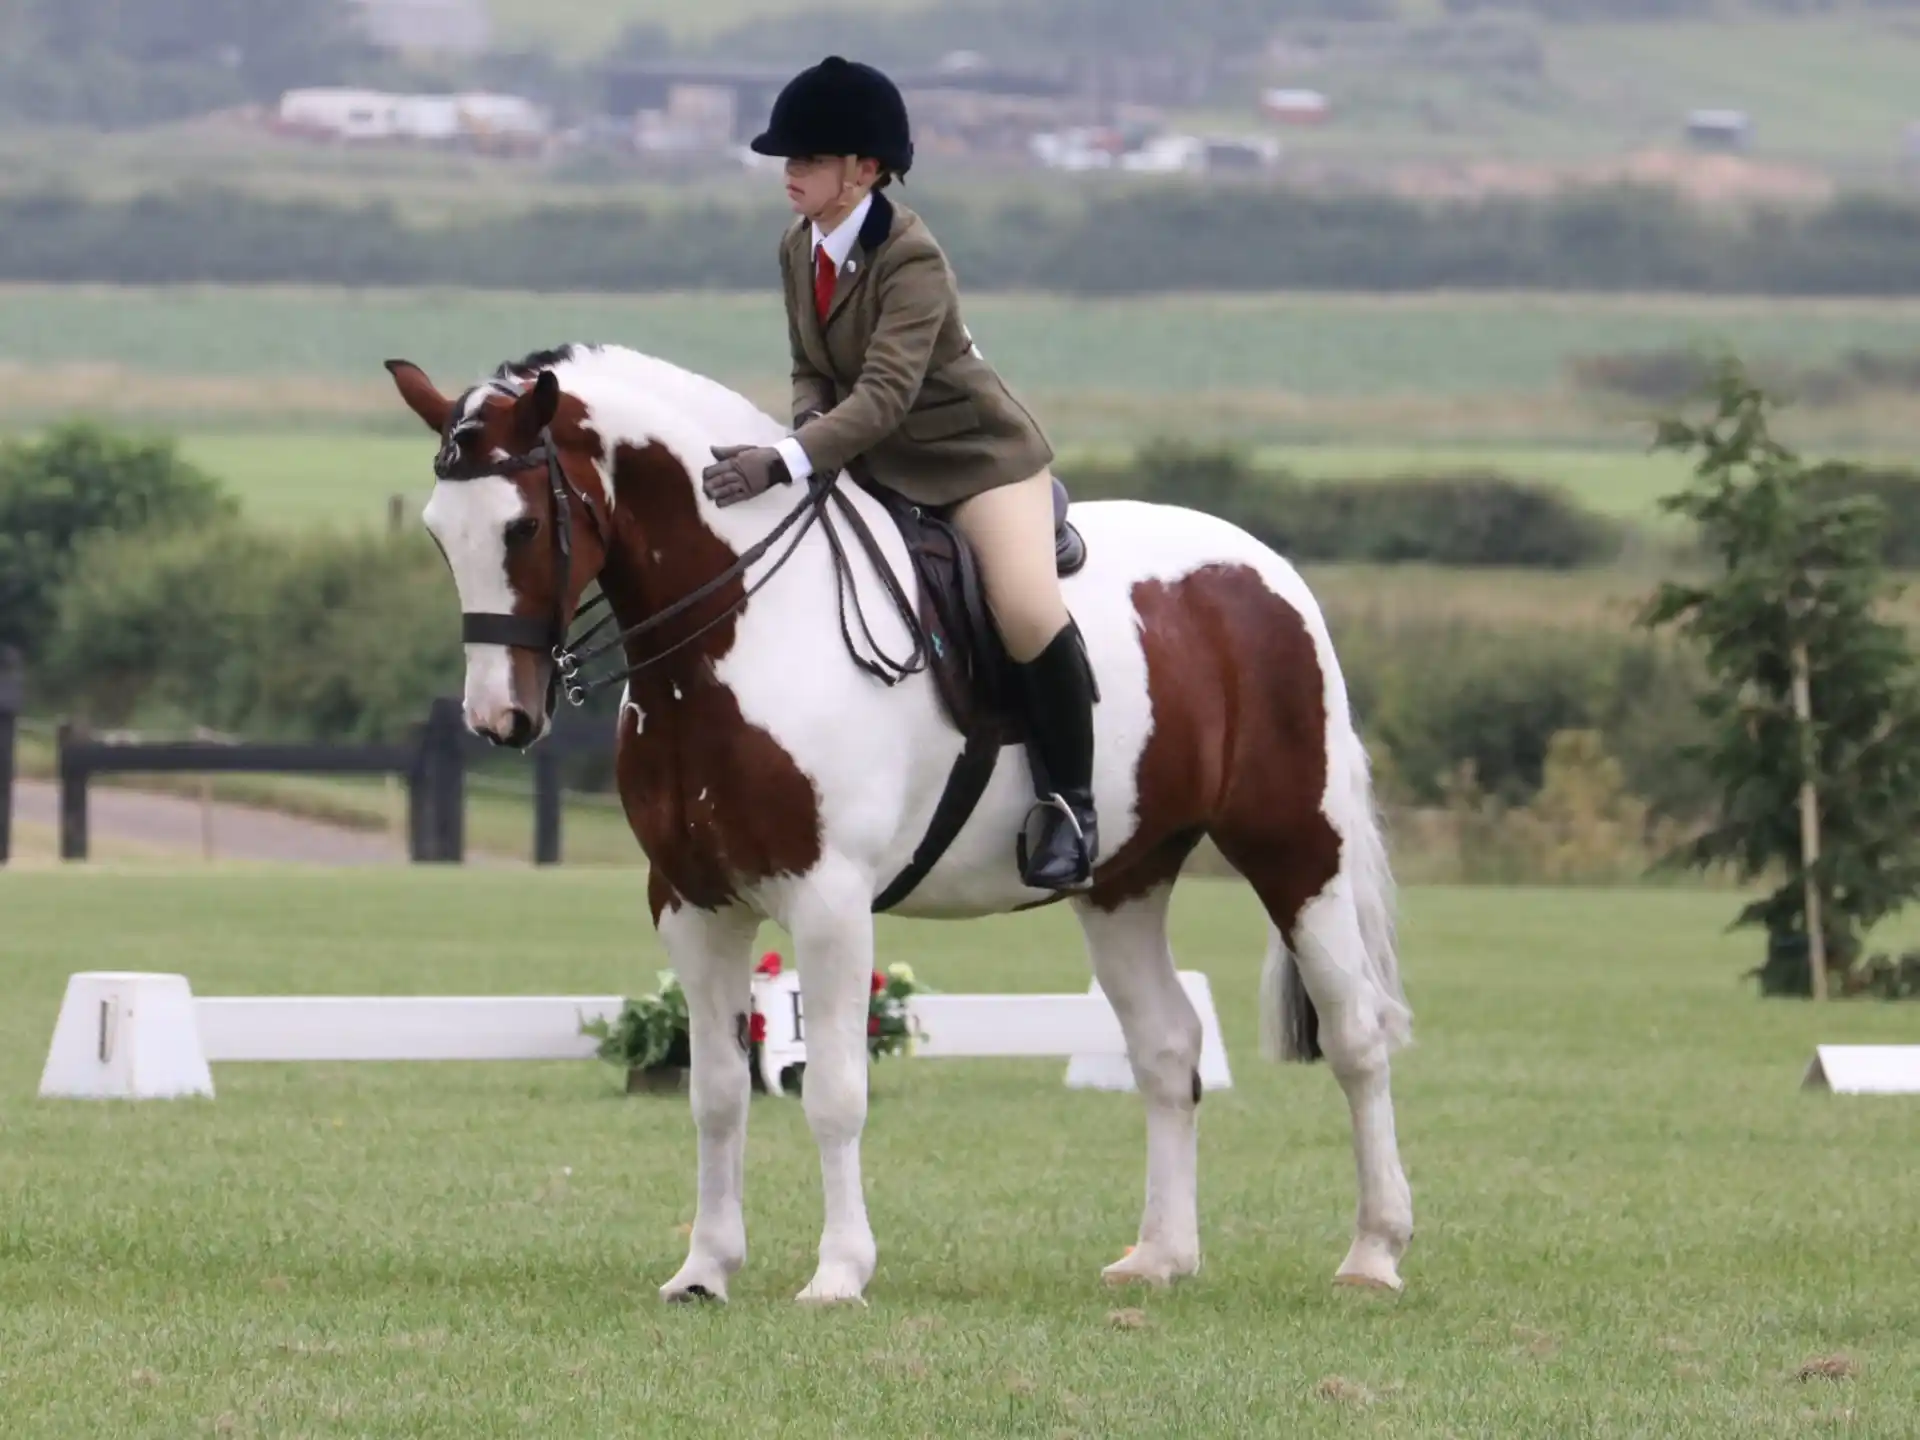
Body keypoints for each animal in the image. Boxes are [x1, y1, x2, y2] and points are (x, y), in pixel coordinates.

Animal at [383, 341, 1414, 1306]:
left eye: (522, 526)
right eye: (438, 533)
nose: (500, 718)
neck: (743, 631)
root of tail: (1267, 569)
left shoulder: (829, 900)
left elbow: (835, 1091)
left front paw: (839, 1273)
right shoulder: (692, 904)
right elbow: (717, 1095)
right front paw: (705, 1270)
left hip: (1295, 849)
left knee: (1357, 1036)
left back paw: (1374, 1252)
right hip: (1125, 878)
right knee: (1166, 1048)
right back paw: (1159, 1256)